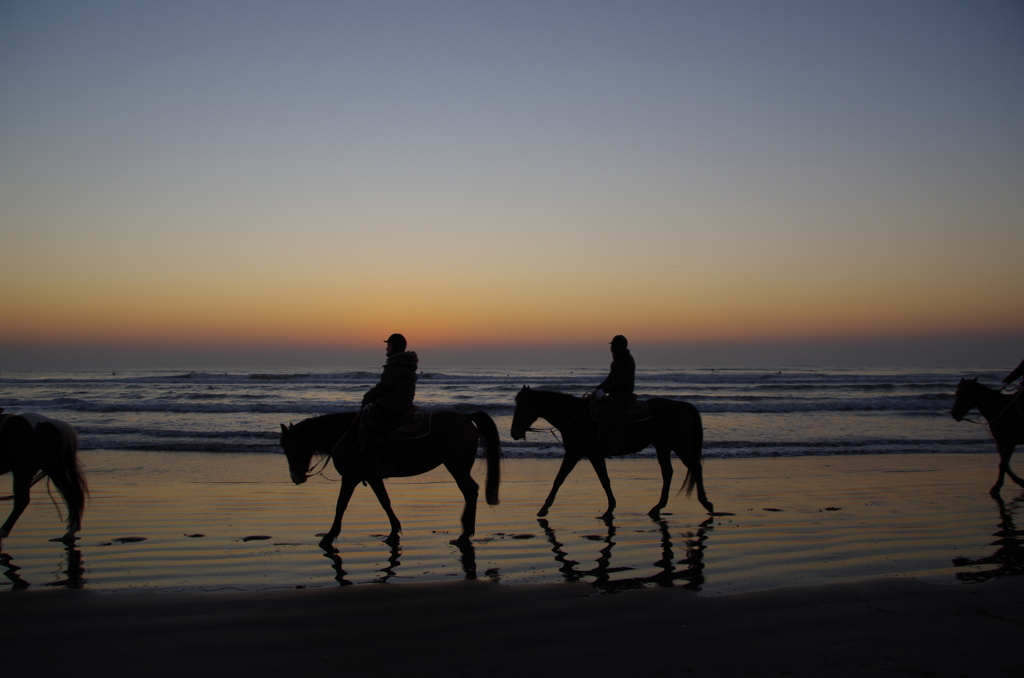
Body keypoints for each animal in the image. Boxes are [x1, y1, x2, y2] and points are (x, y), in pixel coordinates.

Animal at [0, 409, 89, 540]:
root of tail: (56, 425)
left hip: (23, 470)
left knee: (22, 500)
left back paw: (3, 531)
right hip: (54, 469)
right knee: (72, 495)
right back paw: (71, 531)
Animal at [280, 409, 503, 553]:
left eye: (290, 447)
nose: (296, 478)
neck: (346, 436)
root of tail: (466, 418)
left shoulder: (351, 477)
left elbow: (341, 505)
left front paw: (329, 536)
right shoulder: (372, 477)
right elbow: (384, 501)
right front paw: (394, 531)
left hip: (457, 467)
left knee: (470, 491)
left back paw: (465, 534)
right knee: (470, 492)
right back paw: (466, 533)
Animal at [509, 387, 712, 520]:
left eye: (523, 406)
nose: (514, 433)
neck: (576, 418)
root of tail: (681, 405)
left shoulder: (593, 455)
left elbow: (603, 480)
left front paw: (609, 509)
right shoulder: (574, 454)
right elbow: (559, 479)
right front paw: (543, 508)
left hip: (679, 445)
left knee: (695, 467)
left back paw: (706, 503)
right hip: (662, 446)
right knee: (668, 472)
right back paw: (657, 507)